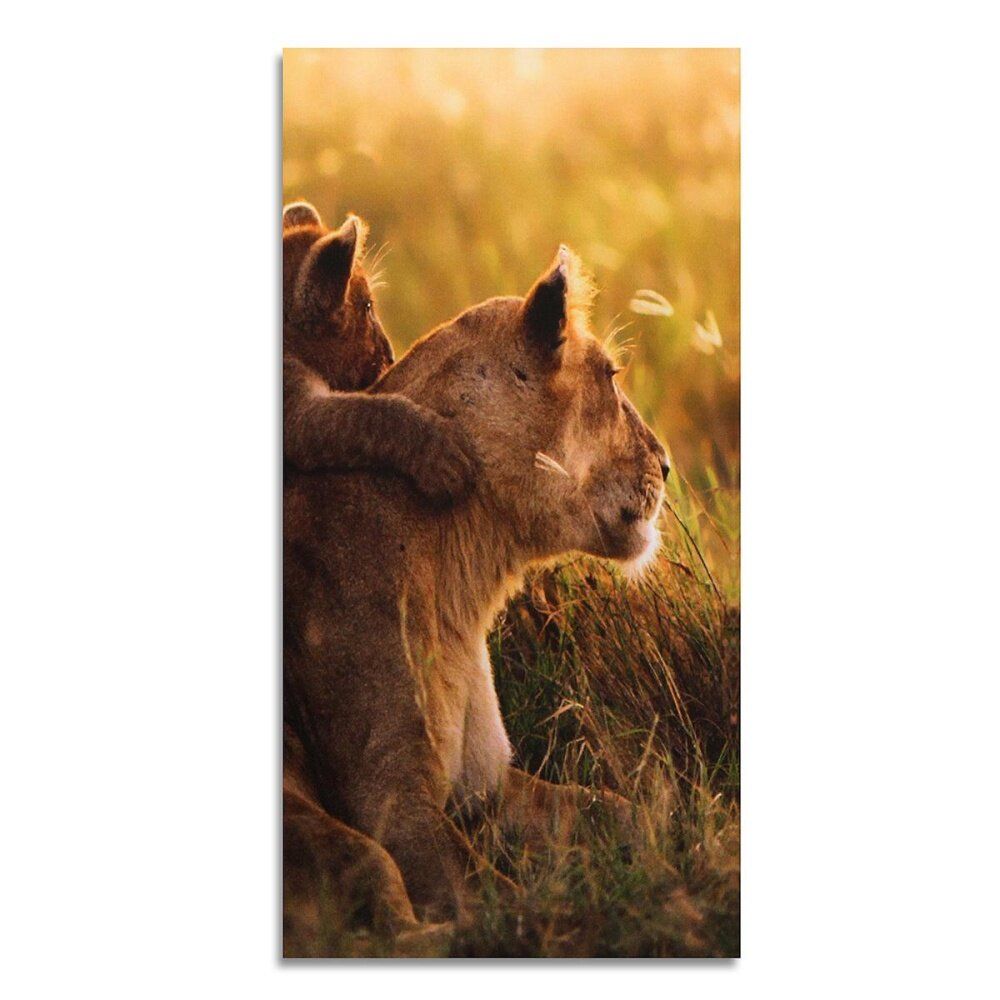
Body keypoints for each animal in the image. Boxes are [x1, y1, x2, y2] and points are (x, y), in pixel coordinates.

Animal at [283, 246, 670, 950]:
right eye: (611, 375)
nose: (668, 465)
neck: (463, 576)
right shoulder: (392, 801)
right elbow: (495, 899)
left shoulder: (487, 784)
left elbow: (619, 809)